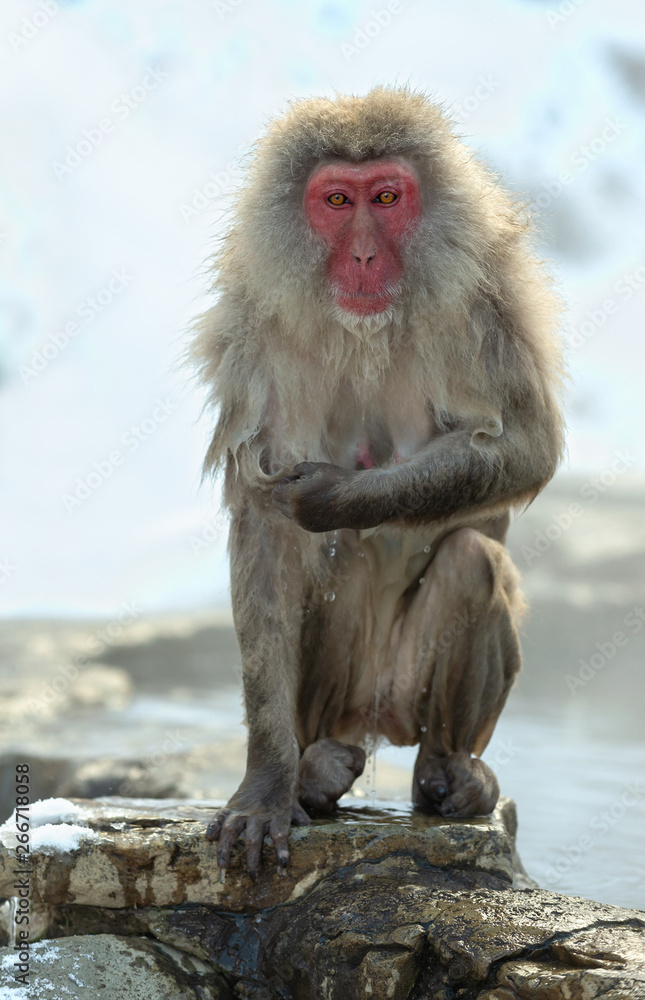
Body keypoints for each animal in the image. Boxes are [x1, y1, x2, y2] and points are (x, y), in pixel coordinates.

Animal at [191, 87, 565, 877]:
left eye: (387, 198)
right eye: (337, 200)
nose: (363, 254)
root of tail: (375, 720)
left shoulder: (491, 298)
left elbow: (525, 447)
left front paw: (333, 494)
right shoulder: (254, 332)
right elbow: (265, 530)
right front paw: (266, 785)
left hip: (409, 696)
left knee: (471, 560)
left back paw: (451, 775)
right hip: (339, 695)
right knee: (323, 576)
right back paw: (314, 770)